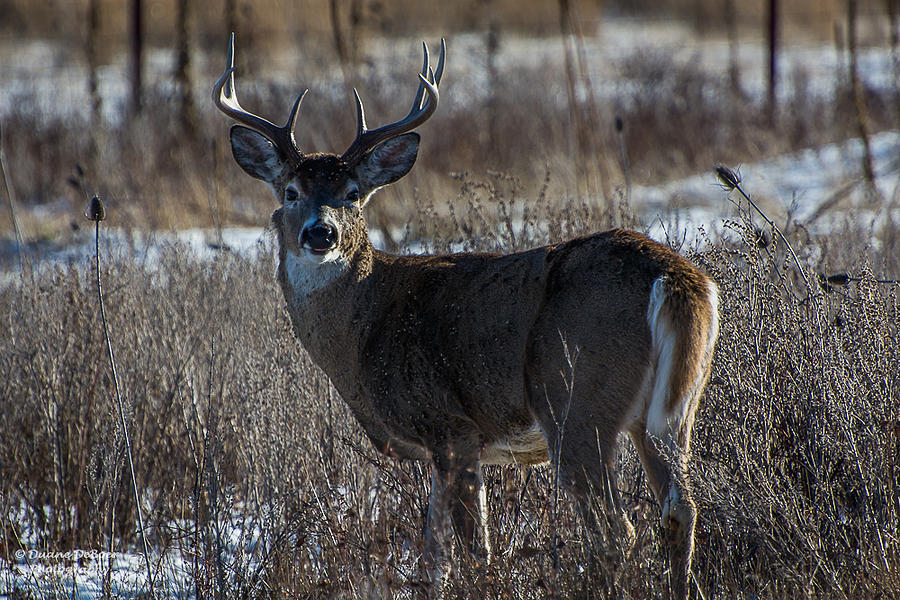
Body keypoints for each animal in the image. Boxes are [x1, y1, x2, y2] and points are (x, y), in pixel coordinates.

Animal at [211, 34, 716, 600]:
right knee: (680, 510)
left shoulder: (451, 425)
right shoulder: (440, 445)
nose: (321, 234)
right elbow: (435, 557)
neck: (364, 330)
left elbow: (476, 551)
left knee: (617, 529)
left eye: (353, 195)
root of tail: (674, 277)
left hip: (576, 399)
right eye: (291, 192)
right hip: (671, 411)